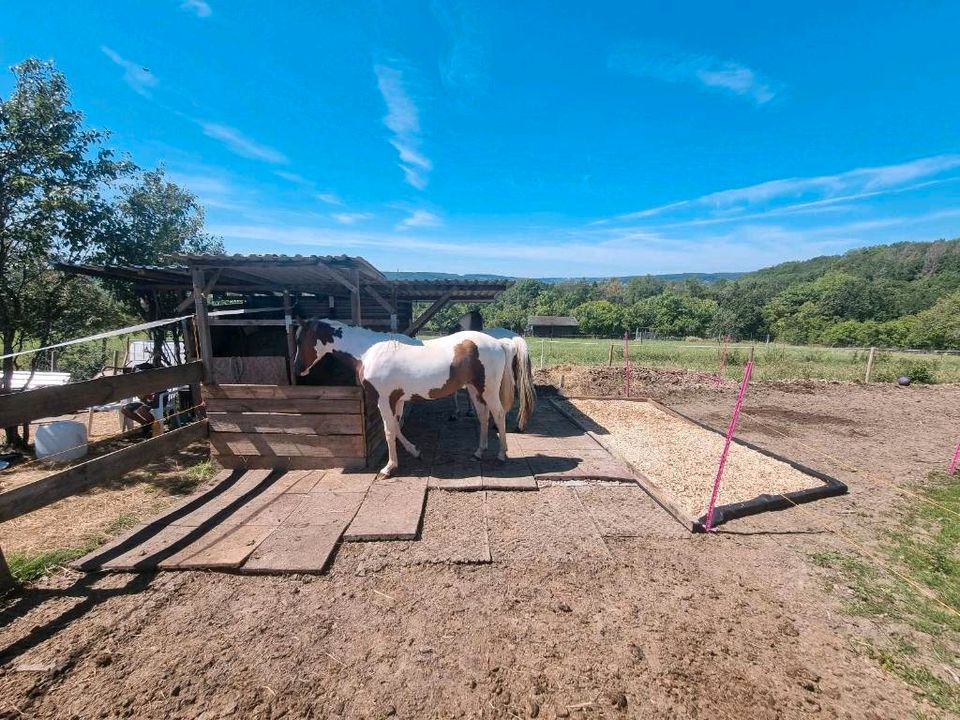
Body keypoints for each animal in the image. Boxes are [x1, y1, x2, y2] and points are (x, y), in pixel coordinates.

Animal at [296, 320, 536, 478]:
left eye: (301, 339)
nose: (299, 369)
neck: (369, 351)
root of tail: (500, 342)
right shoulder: (397, 400)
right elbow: (397, 426)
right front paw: (414, 451)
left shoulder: (384, 399)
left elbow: (389, 430)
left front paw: (388, 468)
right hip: (474, 390)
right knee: (483, 416)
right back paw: (478, 453)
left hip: (488, 390)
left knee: (498, 415)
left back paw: (501, 455)